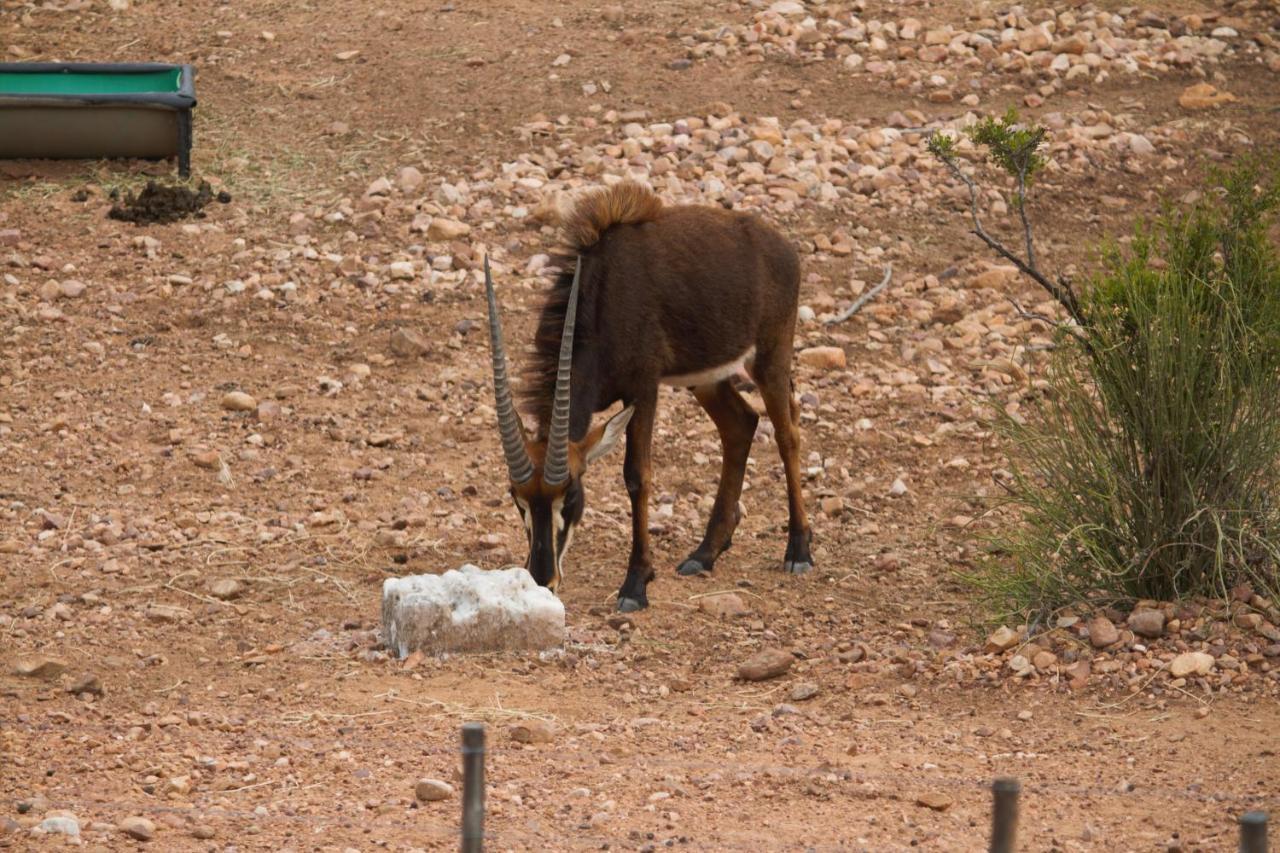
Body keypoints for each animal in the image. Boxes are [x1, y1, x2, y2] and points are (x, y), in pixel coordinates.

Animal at [483, 179, 814, 607]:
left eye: (570, 494)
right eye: (516, 497)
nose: (543, 580)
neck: (603, 293)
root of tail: (781, 245)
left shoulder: (643, 388)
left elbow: (636, 476)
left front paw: (636, 583)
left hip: (770, 355)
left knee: (787, 433)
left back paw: (799, 549)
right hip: (706, 377)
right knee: (740, 425)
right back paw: (705, 553)